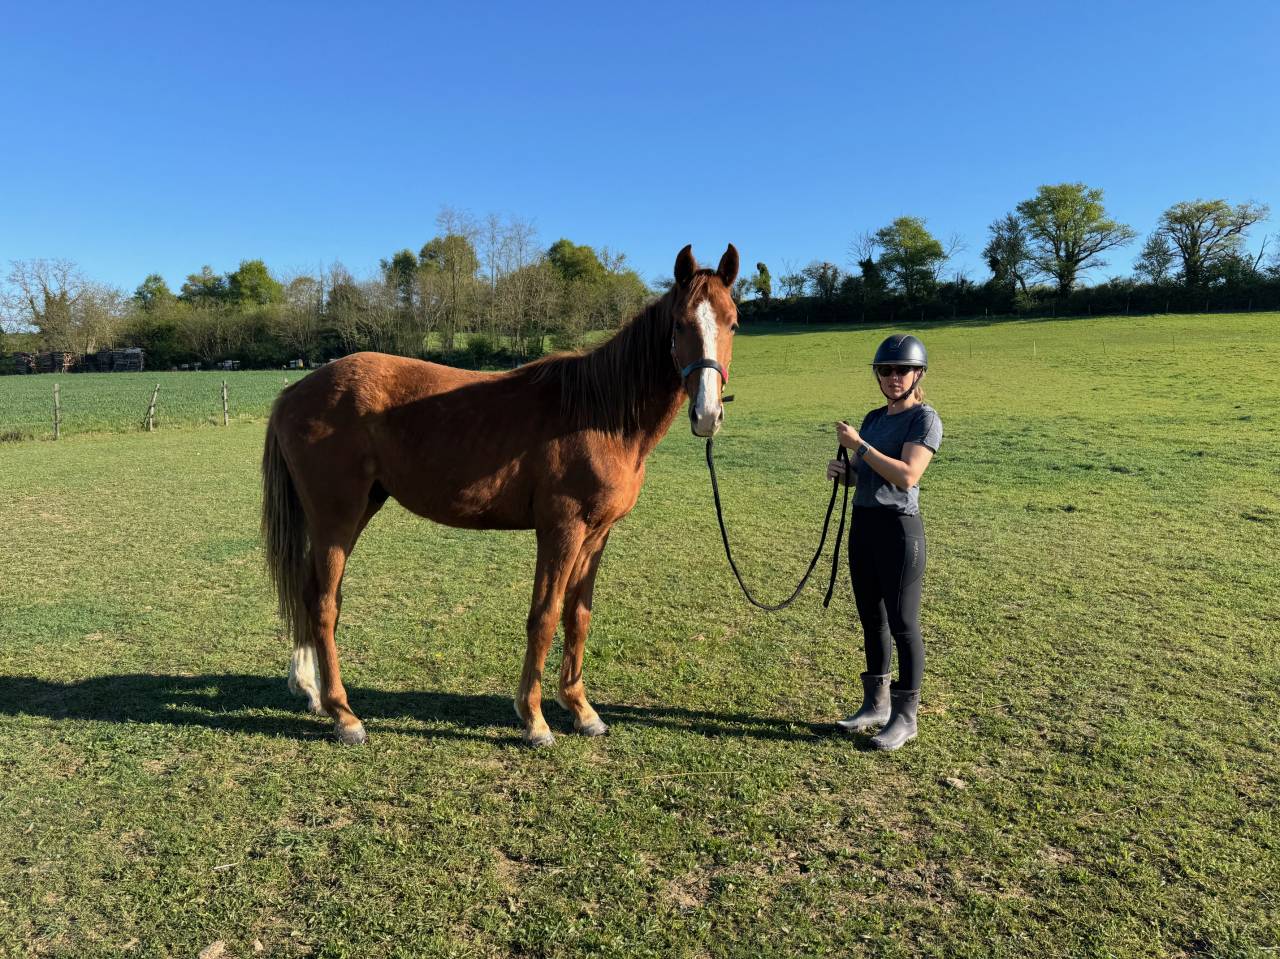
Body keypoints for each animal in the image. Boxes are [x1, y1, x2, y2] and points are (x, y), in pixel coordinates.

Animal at [261, 243, 739, 746]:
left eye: (732, 322)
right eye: (680, 324)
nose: (707, 414)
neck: (599, 413)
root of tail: (295, 391)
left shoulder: (596, 535)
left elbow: (578, 616)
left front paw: (582, 710)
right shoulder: (561, 530)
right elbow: (544, 616)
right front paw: (534, 719)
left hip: (354, 511)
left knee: (308, 594)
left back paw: (312, 692)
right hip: (336, 516)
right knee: (323, 603)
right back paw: (344, 714)